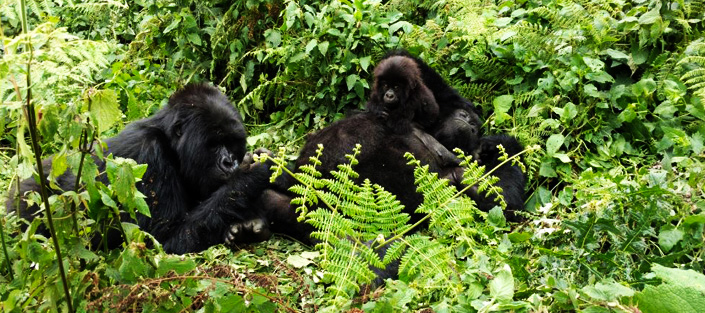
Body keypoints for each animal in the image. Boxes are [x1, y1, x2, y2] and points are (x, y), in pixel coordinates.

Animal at [8, 83, 272, 254]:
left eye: (232, 142)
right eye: (214, 144)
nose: (230, 162)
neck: (171, 145)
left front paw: (247, 229)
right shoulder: (150, 155)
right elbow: (166, 239)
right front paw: (253, 174)